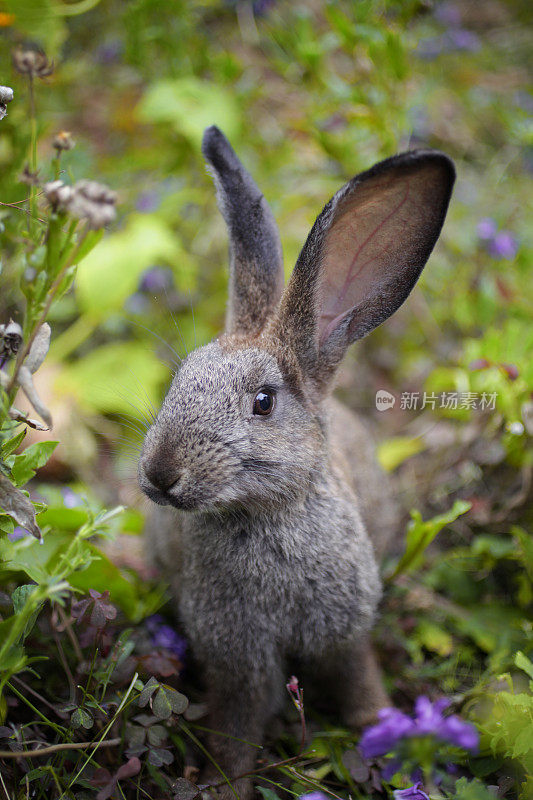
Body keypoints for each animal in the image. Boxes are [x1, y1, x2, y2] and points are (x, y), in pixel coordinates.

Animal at [138, 128, 454, 796]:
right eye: (179, 380)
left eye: (263, 402)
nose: (160, 474)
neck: (266, 512)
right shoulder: (237, 657)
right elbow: (238, 725)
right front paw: (228, 783)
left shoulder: (345, 632)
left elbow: (358, 682)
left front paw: (383, 733)